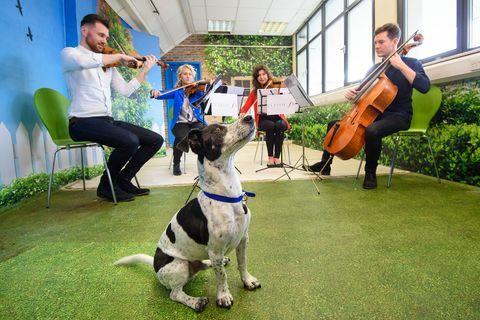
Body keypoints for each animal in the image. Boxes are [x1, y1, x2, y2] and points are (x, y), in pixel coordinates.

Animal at [114, 115, 260, 312]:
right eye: (217, 130)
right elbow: (222, 277)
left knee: (206, 265)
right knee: (175, 293)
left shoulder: (243, 239)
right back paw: (196, 301)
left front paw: (248, 281)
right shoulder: (215, 250)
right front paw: (223, 296)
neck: (227, 196)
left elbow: (242, 263)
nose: (249, 117)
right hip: (179, 265)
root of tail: (155, 264)